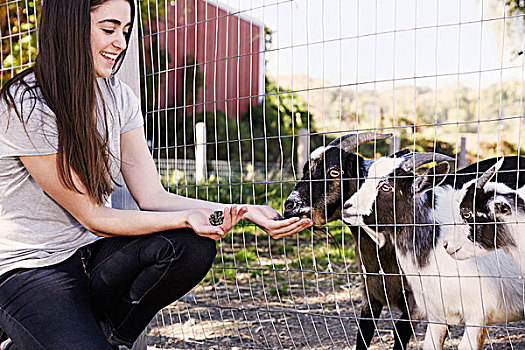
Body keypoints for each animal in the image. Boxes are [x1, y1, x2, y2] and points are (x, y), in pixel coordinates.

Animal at [284, 132, 420, 350]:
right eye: (306, 169)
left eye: (334, 172)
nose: (291, 206)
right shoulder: (370, 296)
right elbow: (363, 333)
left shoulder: (416, 304)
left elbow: (399, 333)